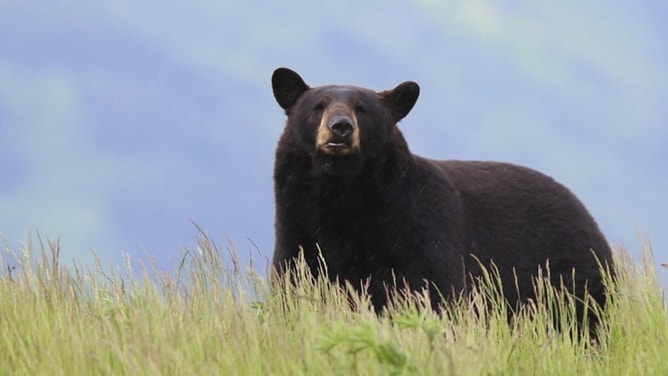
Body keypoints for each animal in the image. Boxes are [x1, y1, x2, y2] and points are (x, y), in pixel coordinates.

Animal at [268, 65, 612, 324]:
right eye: (318, 106)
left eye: (362, 109)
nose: (340, 127)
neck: (343, 196)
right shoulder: (298, 229)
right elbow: (293, 284)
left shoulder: (419, 229)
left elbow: (436, 292)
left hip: (570, 279)